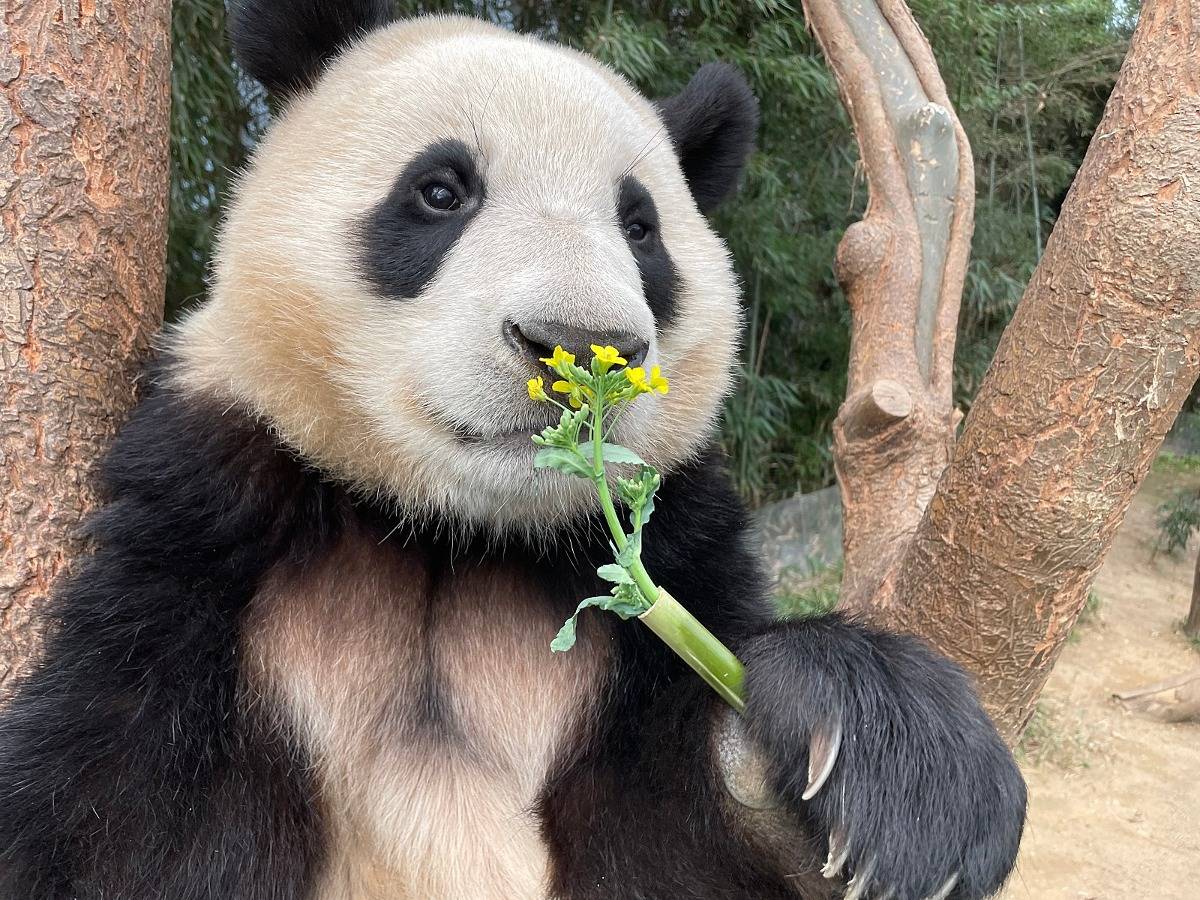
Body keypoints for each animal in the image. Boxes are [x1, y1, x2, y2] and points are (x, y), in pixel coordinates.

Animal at [0, 1, 1027, 900]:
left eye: (641, 228)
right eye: (441, 190)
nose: (575, 345)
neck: (451, 536)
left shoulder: (655, 579)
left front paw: (896, 764)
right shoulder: (211, 534)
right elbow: (106, 826)